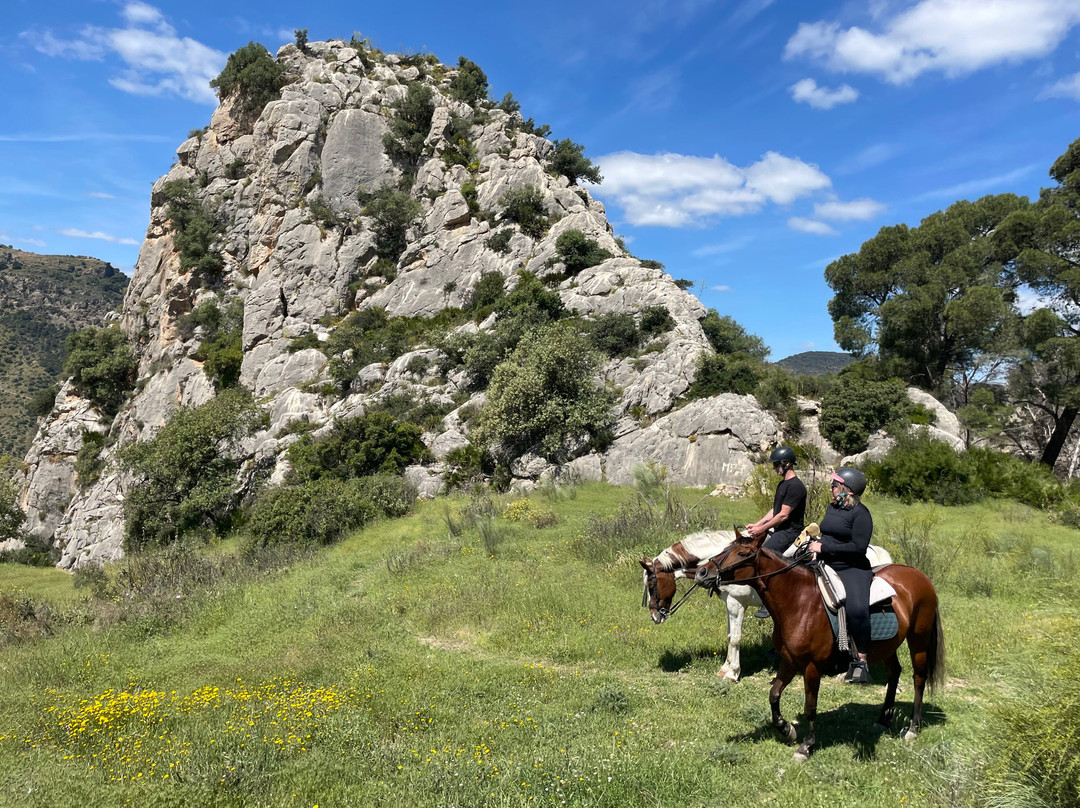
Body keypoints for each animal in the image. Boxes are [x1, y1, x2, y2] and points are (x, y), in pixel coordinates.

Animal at [640, 530, 761, 682]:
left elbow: (735, 638)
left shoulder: (736, 603)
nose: (654, 616)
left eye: (651, 586)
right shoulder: (729, 604)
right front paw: (724, 668)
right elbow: (729, 636)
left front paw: (733, 673)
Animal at [694, 530, 945, 762]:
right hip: (887, 646)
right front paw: (787, 729)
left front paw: (806, 746)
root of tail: (920, 577)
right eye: (726, 548)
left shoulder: (812, 668)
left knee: (919, 678)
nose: (702, 572)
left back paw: (912, 728)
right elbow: (774, 695)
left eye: (743, 553)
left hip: (918, 639)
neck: (800, 602)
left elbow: (810, 707)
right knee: (894, 673)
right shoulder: (789, 661)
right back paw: (883, 719)